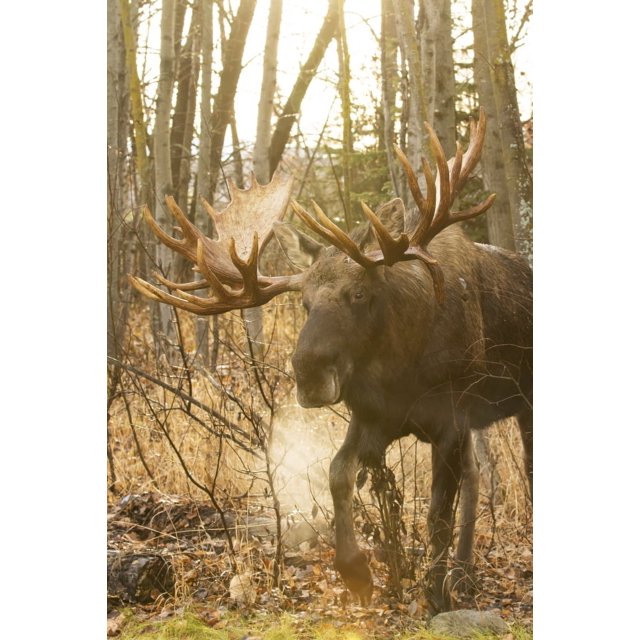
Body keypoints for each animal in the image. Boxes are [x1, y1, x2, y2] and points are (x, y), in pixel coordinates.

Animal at [130, 109, 528, 608]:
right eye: (304, 302)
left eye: (358, 293)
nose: (308, 375)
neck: (401, 369)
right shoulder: (375, 416)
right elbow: (338, 473)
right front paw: (356, 571)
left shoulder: (450, 417)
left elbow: (437, 513)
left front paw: (435, 595)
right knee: (477, 477)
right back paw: (464, 572)